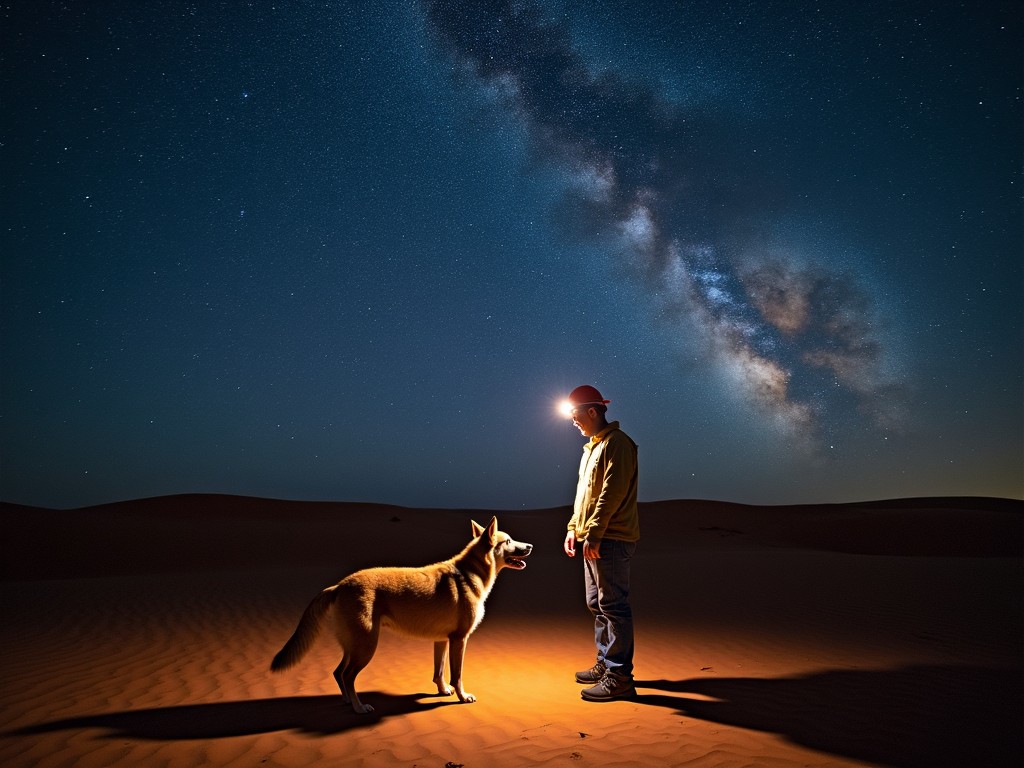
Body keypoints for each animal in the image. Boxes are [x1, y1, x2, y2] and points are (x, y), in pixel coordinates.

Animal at [272, 518, 532, 716]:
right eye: (508, 541)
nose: (529, 545)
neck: (471, 573)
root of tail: (339, 585)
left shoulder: (442, 640)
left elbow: (439, 672)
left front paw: (442, 691)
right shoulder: (459, 639)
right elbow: (457, 675)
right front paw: (461, 697)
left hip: (354, 646)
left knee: (337, 673)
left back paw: (347, 701)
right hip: (366, 647)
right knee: (346, 676)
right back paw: (359, 708)